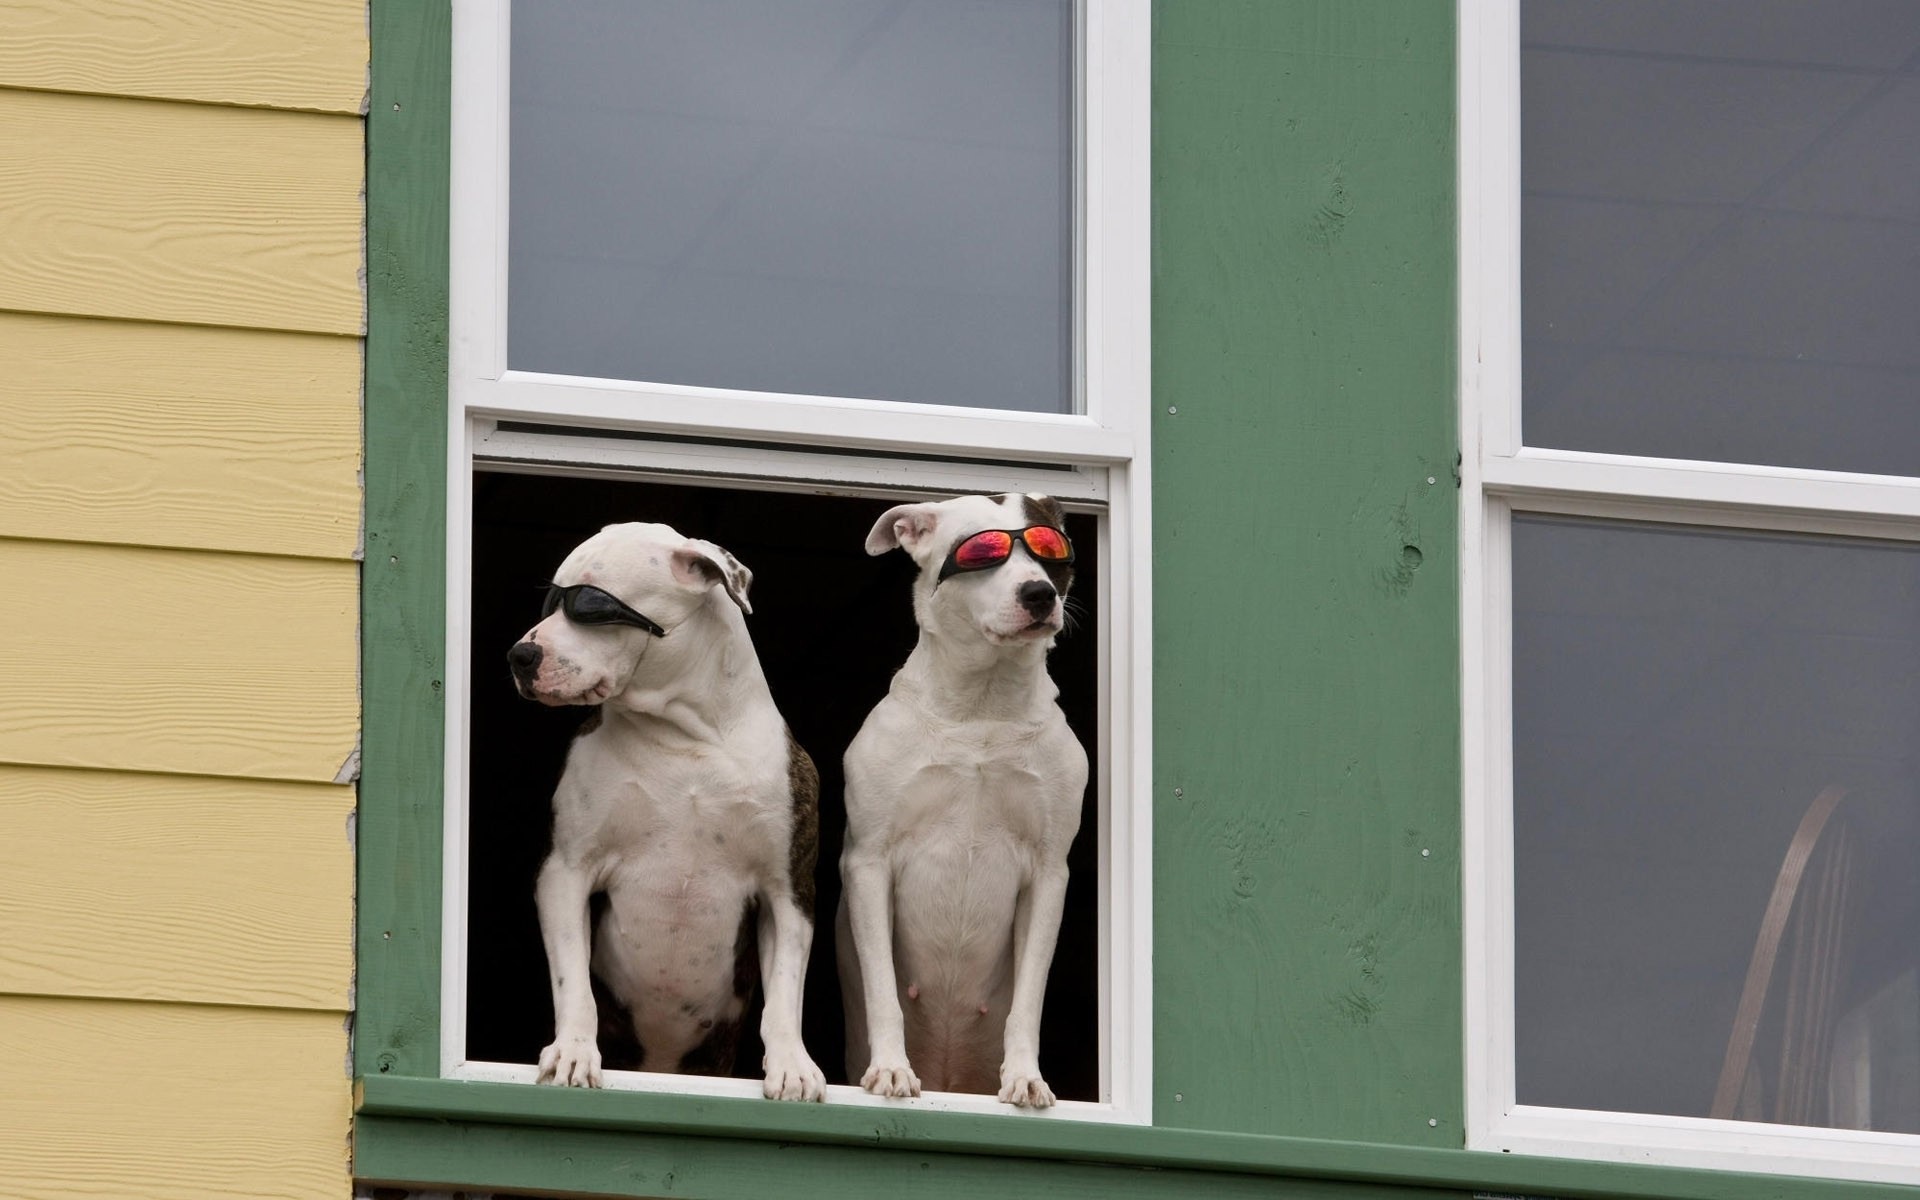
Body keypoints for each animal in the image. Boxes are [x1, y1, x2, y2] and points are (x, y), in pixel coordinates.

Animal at [503, 518, 825, 1098]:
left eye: (592, 604)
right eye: (552, 600)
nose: (520, 655)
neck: (685, 737)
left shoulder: (788, 891)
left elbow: (786, 992)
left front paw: (792, 1063)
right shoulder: (565, 871)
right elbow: (573, 980)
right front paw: (573, 1050)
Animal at [844, 489, 1098, 1105]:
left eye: (1050, 550)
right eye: (982, 551)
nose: (1039, 593)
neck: (984, 705)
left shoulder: (1048, 874)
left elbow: (1029, 998)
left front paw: (1026, 1075)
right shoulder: (869, 862)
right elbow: (883, 987)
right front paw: (891, 1068)